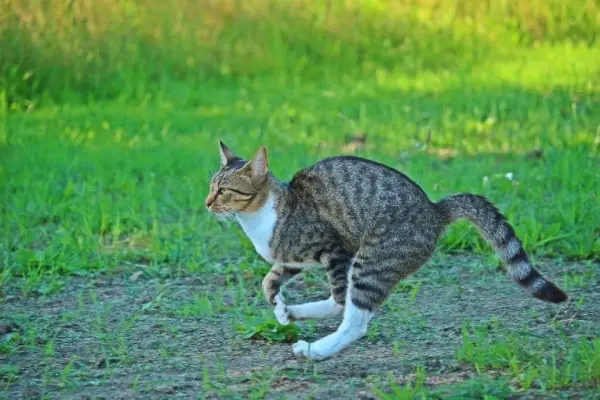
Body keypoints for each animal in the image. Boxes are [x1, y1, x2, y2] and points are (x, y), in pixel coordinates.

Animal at [206, 142, 568, 360]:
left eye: (224, 190)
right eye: (211, 186)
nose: (207, 202)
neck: (260, 218)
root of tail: (435, 210)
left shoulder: (333, 250)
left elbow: (336, 298)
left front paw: (286, 311)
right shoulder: (292, 259)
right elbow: (268, 280)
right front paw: (280, 308)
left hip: (370, 260)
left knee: (352, 315)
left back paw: (316, 349)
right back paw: (296, 313)